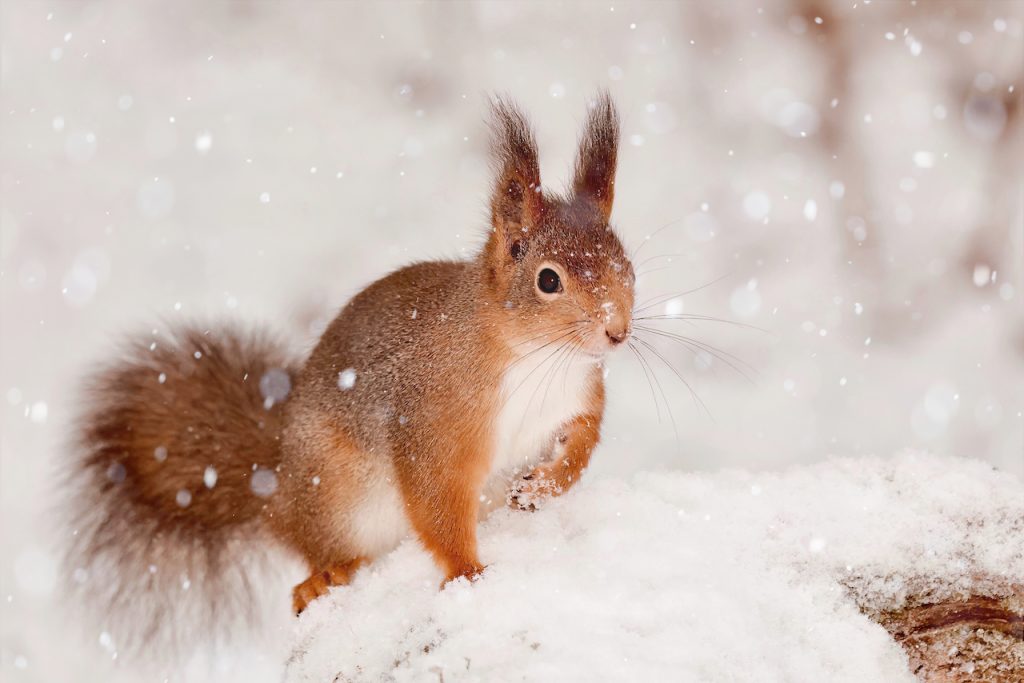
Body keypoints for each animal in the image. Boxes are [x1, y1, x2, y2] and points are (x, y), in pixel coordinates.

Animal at [66, 92, 630, 630]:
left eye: (625, 263)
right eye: (548, 280)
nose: (618, 331)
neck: (539, 359)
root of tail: (274, 484)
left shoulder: (578, 399)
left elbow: (580, 449)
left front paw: (542, 487)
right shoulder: (431, 422)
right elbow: (437, 502)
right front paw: (467, 572)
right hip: (333, 493)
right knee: (325, 549)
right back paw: (323, 578)